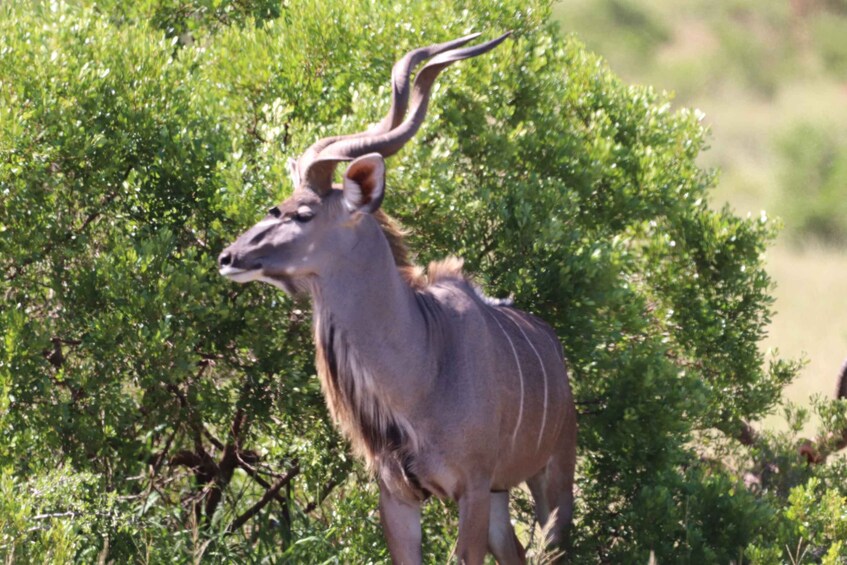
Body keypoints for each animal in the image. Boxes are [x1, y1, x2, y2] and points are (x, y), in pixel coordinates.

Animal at [217, 33, 576, 560]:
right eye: (276, 205)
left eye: (302, 213)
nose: (228, 256)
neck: (423, 365)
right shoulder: (398, 494)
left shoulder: (470, 487)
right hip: (500, 494)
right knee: (512, 551)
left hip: (552, 477)